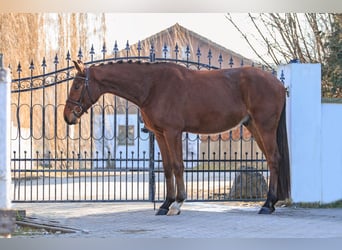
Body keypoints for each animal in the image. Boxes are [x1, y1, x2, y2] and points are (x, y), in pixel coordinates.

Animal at [62, 60, 290, 215]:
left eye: (77, 86)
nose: (67, 116)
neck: (152, 86)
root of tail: (279, 85)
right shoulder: (160, 134)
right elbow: (168, 167)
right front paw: (166, 204)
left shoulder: (173, 132)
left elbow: (178, 165)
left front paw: (178, 203)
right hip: (254, 126)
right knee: (272, 159)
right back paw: (273, 202)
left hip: (265, 127)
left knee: (273, 159)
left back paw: (267, 204)